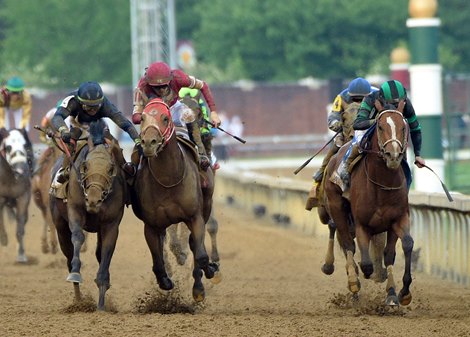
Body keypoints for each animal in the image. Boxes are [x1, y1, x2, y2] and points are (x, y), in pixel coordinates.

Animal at [50, 120, 127, 310]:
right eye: (85, 166)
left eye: (110, 168)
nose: (93, 200)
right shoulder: (75, 210)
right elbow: (78, 237)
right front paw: (76, 273)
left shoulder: (111, 224)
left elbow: (106, 251)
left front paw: (101, 302)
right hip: (59, 225)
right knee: (68, 254)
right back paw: (78, 300)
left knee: (99, 253)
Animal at [130, 97, 218, 302]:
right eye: (142, 118)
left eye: (165, 118)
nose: (149, 143)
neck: (168, 179)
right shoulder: (151, 225)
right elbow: (157, 259)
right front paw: (165, 280)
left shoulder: (194, 217)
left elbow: (200, 254)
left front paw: (208, 273)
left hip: (206, 204)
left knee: (195, 245)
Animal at [322, 109, 414, 306]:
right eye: (380, 127)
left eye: (403, 127)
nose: (393, 155)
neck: (382, 184)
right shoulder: (361, 224)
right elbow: (365, 263)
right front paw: (361, 277)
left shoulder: (397, 219)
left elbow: (400, 248)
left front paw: (397, 293)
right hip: (336, 207)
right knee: (347, 243)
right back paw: (351, 281)